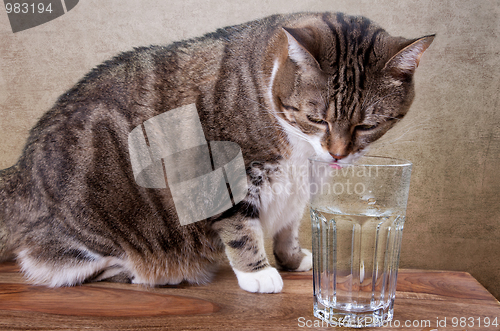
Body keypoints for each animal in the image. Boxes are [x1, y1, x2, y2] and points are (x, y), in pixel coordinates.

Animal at [0, 12, 432, 294]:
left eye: (366, 125)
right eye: (317, 119)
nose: (338, 155)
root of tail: (19, 171)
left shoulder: (298, 191)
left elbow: (289, 227)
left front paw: (292, 260)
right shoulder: (228, 172)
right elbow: (241, 228)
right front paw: (258, 273)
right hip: (95, 227)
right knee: (59, 265)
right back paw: (157, 273)